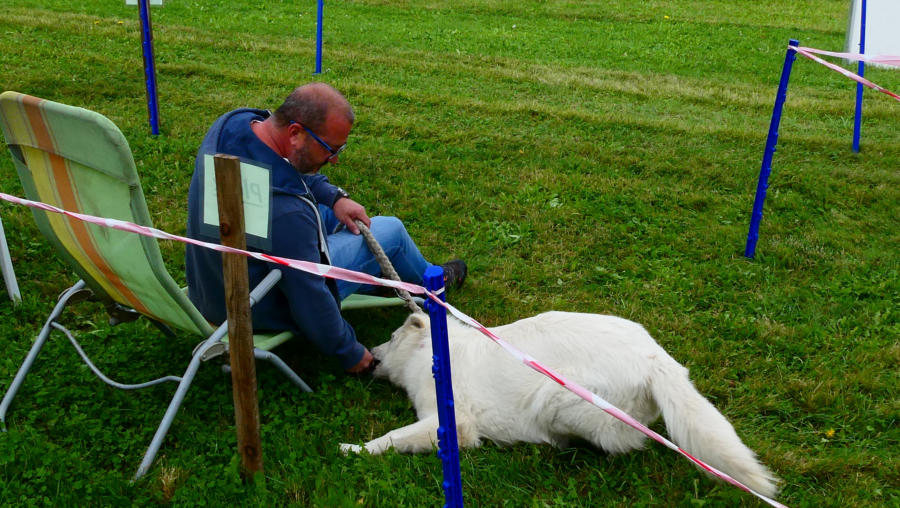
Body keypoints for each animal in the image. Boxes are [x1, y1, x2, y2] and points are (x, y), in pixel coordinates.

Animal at [341, 311, 779, 498]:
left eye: (392, 337)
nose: (371, 355)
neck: (432, 354)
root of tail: (655, 358)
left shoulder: (452, 423)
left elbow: (393, 437)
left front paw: (354, 449)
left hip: (559, 400)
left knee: (623, 442)